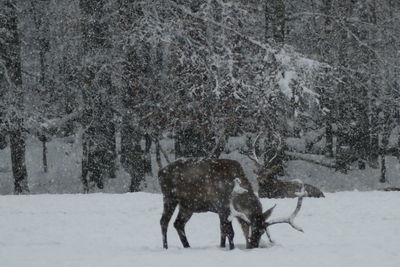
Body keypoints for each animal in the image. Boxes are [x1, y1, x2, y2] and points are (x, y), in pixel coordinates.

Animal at [158, 158, 304, 250]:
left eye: (263, 232)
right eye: (253, 228)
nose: (254, 246)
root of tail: (160, 172)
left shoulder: (222, 212)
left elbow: (222, 231)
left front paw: (222, 247)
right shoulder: (223, 207)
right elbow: (230, 232)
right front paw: (232, 249)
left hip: (188, 206)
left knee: (178, 223)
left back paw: (188, 246)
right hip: (169, 197)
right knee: (164, 221)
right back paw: (165, 247)